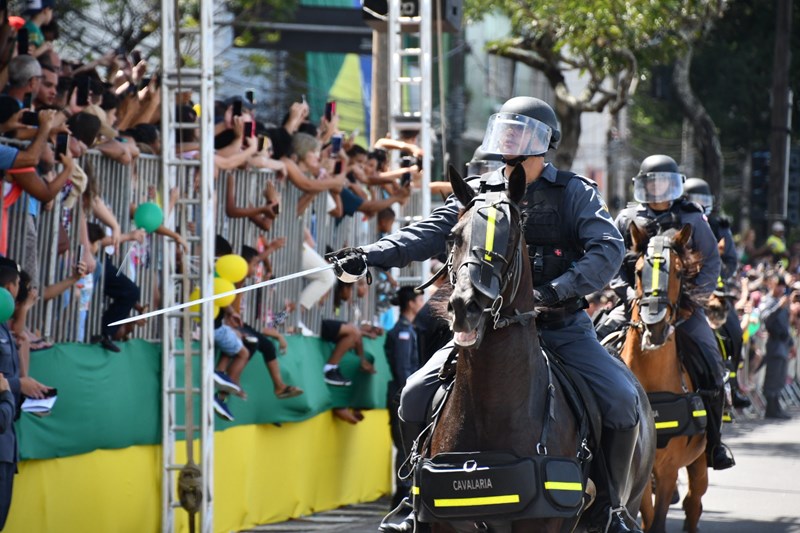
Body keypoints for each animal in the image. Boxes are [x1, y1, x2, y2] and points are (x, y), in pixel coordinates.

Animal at [422, 166, 652, 532]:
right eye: (453, 236)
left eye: (511, 237)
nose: (464, 307)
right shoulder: (450, 524)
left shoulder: (545, 523)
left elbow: (604, 243)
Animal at [620, 224, 708, 532]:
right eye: (637, 271)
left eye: (680, 272)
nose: (655, 328)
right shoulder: (642, 475)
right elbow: (646, 520)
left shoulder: (668, 468)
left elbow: (657, 522)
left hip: (700, 460)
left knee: (694, 502)